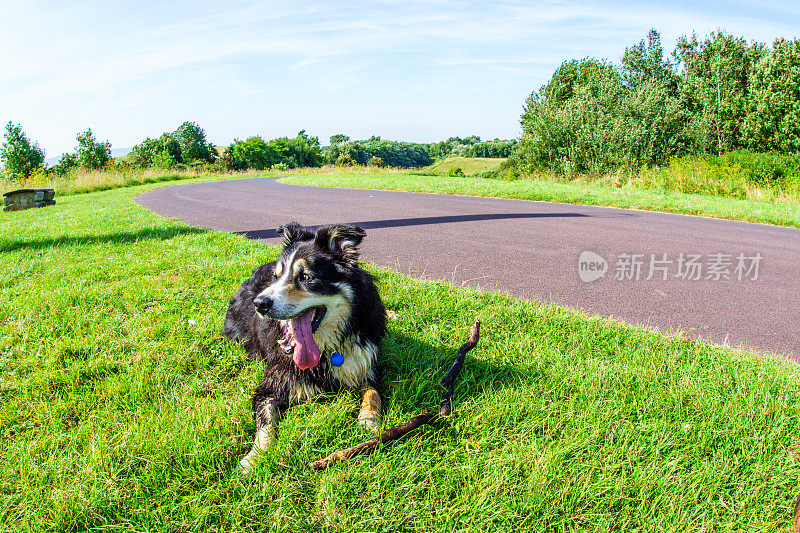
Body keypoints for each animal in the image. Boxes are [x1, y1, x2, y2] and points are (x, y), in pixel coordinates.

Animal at [225, 222, 388, 472]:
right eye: (276, 277)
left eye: (306, 276)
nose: (259, 304)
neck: (326, 349)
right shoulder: (270, 385)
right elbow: (264, 420)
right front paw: (256, 455)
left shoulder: (366, 362)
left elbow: (372, 392)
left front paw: (368, 420)